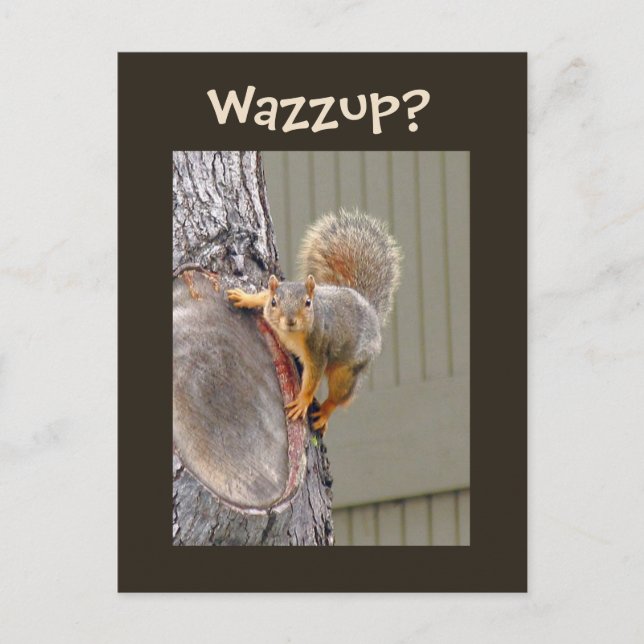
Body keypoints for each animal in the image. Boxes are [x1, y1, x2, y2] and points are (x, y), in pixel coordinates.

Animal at [226, 208, 402, 435]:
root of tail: (370, 309)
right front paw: (245, 297)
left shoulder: (318, 348)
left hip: (347, 371)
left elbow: (312, 380)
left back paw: (325, 412)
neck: (290, 334)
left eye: (308, 303)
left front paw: (302, 401)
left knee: (340, 397)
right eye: (274, 302)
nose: (290, 320)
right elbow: (261, 295)